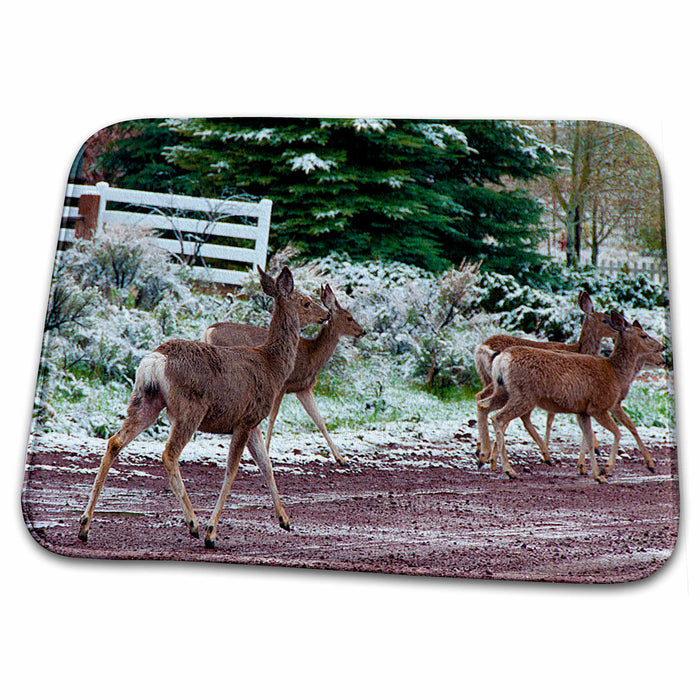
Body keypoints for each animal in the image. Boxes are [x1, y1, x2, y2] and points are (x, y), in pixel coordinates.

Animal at [78, 266, 330, 548]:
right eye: (306, 302)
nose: (327, 314)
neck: (271, 366)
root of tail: (155, 360)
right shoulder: (245, 419)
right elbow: (232, 470)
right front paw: (212, 531)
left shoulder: (253, 422)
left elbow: (267, 465)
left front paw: (284, 520)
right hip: (189, 408)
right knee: (169, 453)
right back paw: (193, 524)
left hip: (145, 400)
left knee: (115, 441)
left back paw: (84, 526)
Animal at [204, 284, 366, 464]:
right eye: (349, 318)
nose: (363, 331)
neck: (312, 355)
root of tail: (209, 330)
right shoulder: (283, 384)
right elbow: (273, 417)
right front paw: (267, 452)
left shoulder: (303, 388)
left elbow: (319, 420)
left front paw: (340, 458)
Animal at [474, 290, 616, 470]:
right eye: (604, 319)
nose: (617, 330)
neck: (580, 350)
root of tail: (482, 348)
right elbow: (552, 418)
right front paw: (589, 456)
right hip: (504, 385)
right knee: (498, 410)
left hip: (488, 379)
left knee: (481, 399)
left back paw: (483, 453)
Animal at [478, 312, 664, 482]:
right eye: (643, 335)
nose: (661, 348)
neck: (616, 374)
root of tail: (501, 358)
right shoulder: (599, 406)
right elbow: (618, 432)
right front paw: (605, 469)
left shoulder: (583, 411)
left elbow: (590, 439)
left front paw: (597, 474)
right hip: (523, 395)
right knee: (499, 418)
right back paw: (509, 469)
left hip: (504, 391)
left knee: (483, 405)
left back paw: (485, 456)